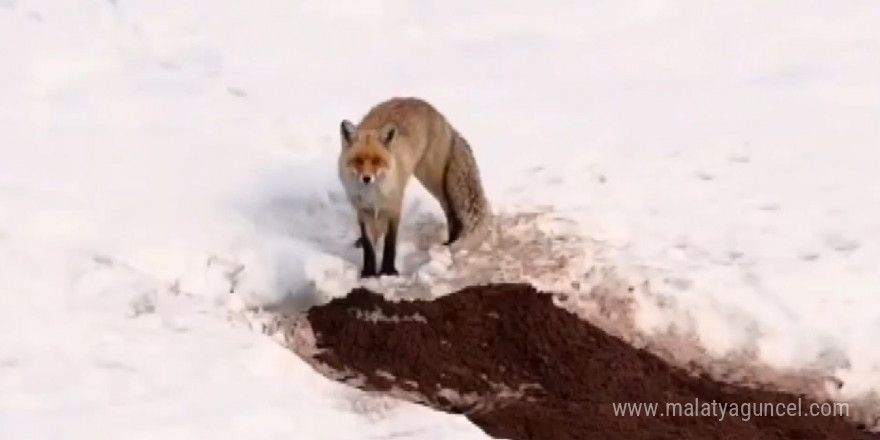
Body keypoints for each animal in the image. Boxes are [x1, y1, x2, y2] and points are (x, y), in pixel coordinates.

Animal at [336, 97, 492, 278]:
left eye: (377, 161)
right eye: (358, 161)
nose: (367, 178)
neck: (373, 193)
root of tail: (440, 116)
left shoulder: (394, 206)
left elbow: (390, 242)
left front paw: (388, 271)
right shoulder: (363, 209)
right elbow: (369, 246)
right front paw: (368, 272)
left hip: (431, 179)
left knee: (451, 210)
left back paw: (450, 241)